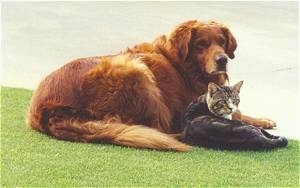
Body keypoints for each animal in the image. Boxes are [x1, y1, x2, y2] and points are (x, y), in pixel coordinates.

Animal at [27, 19, 276, 151]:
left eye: (222, 42)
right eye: (202, 45)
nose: (222, 59)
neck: (182, 65)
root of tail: (46, 110)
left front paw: (263, 119)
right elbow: (237, 113)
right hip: (137, 70)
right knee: (159, 128)